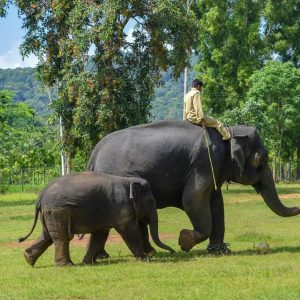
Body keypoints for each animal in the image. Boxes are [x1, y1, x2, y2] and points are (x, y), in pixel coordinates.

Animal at [18, 171, 175, 268]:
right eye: (151, 202)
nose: (173, 252)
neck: (128, 181)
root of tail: (41, 196)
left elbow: (100, 234)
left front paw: (88, 262)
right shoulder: (121, 207)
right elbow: (129, 231)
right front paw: (145, 260)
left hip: (49, 212)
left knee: (48, 235)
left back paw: (28, 258)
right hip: (58, 211)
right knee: (60, 237)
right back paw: (67, 266)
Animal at [87, 120, 300, 255]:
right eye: (262, 159)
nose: (298, 205)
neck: (228, 131)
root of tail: (95, 152)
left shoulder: (214, 169)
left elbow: (217, 204)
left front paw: (221, 251)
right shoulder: (205, 163)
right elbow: (192, 200)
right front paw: (184, 241)